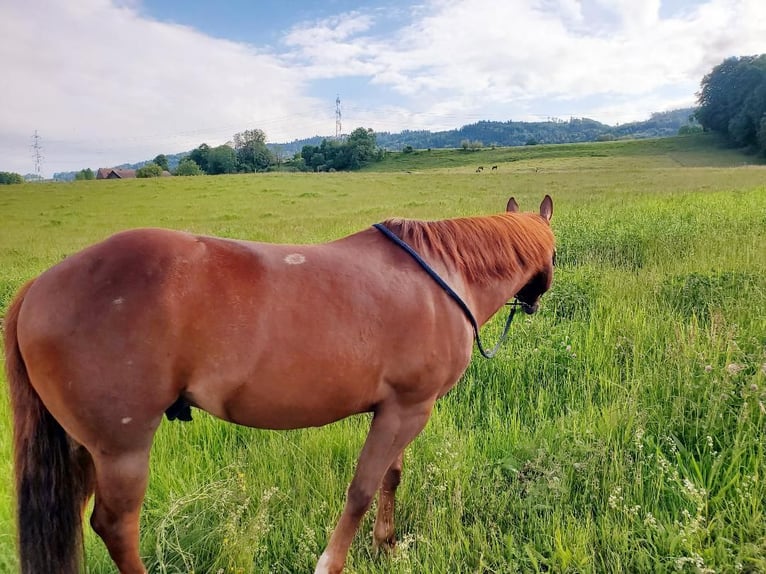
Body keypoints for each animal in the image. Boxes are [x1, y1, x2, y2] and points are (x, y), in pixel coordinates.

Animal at [4, 195, 555, 574]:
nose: (532, 303)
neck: (441, 277)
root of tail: (38, 286)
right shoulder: (407, 410)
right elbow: (361, 488)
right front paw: (335, 561)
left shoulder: (404, 408)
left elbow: (390, 478)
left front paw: (386, 545)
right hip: (121, 449)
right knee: (115, 527)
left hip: (82, 448)